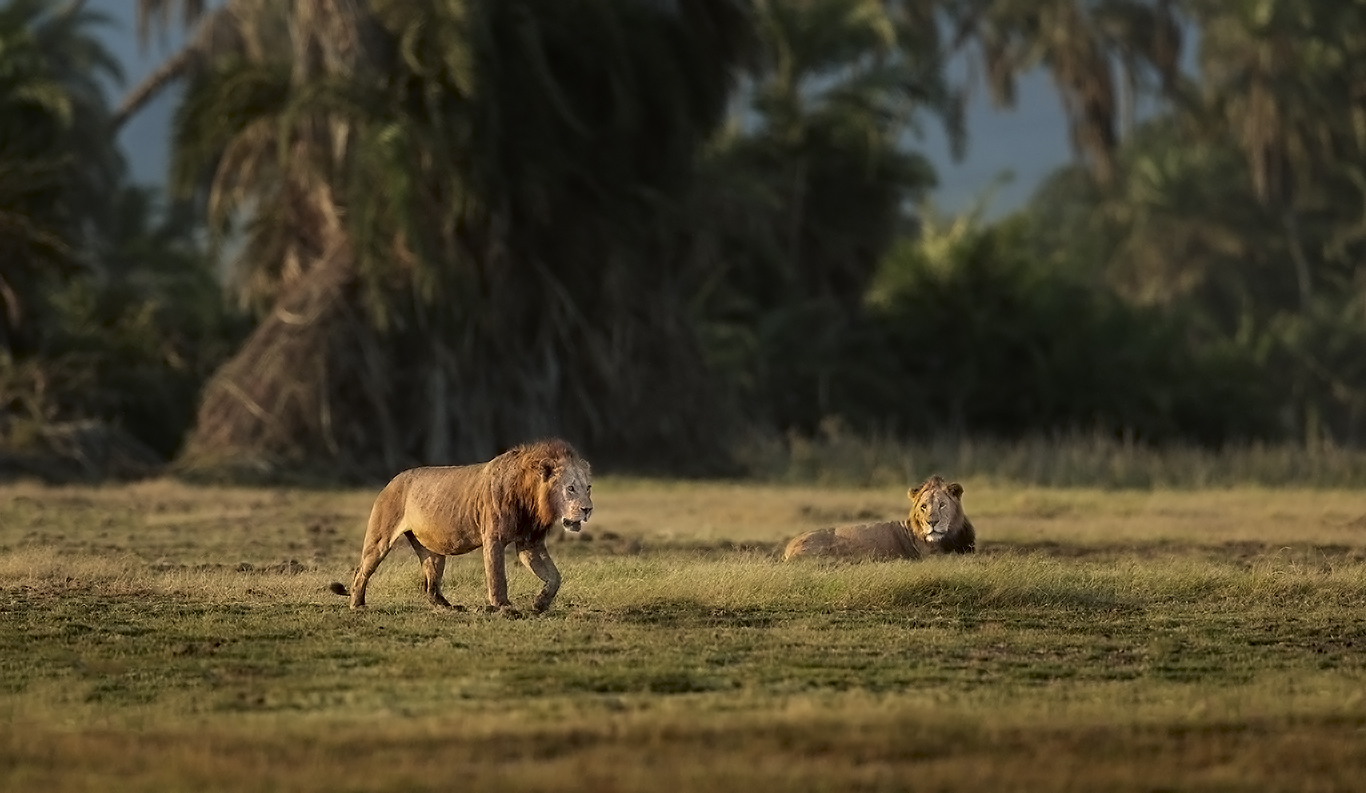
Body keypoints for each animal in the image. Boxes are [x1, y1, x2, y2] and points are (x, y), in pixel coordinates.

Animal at [330, 439, 592, 611]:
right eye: (570, 488)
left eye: (588, 487)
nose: (588, 509)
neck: (533, 501)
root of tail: (392, 480)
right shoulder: (493, 537)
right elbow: (497, 575)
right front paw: (503, 607)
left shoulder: (530, 543)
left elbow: (554, 577)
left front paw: (540, 603)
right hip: (380, 539)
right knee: (361, 571)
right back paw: (357, 605)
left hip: (432, 551)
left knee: (431, 585)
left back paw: (449, 608)